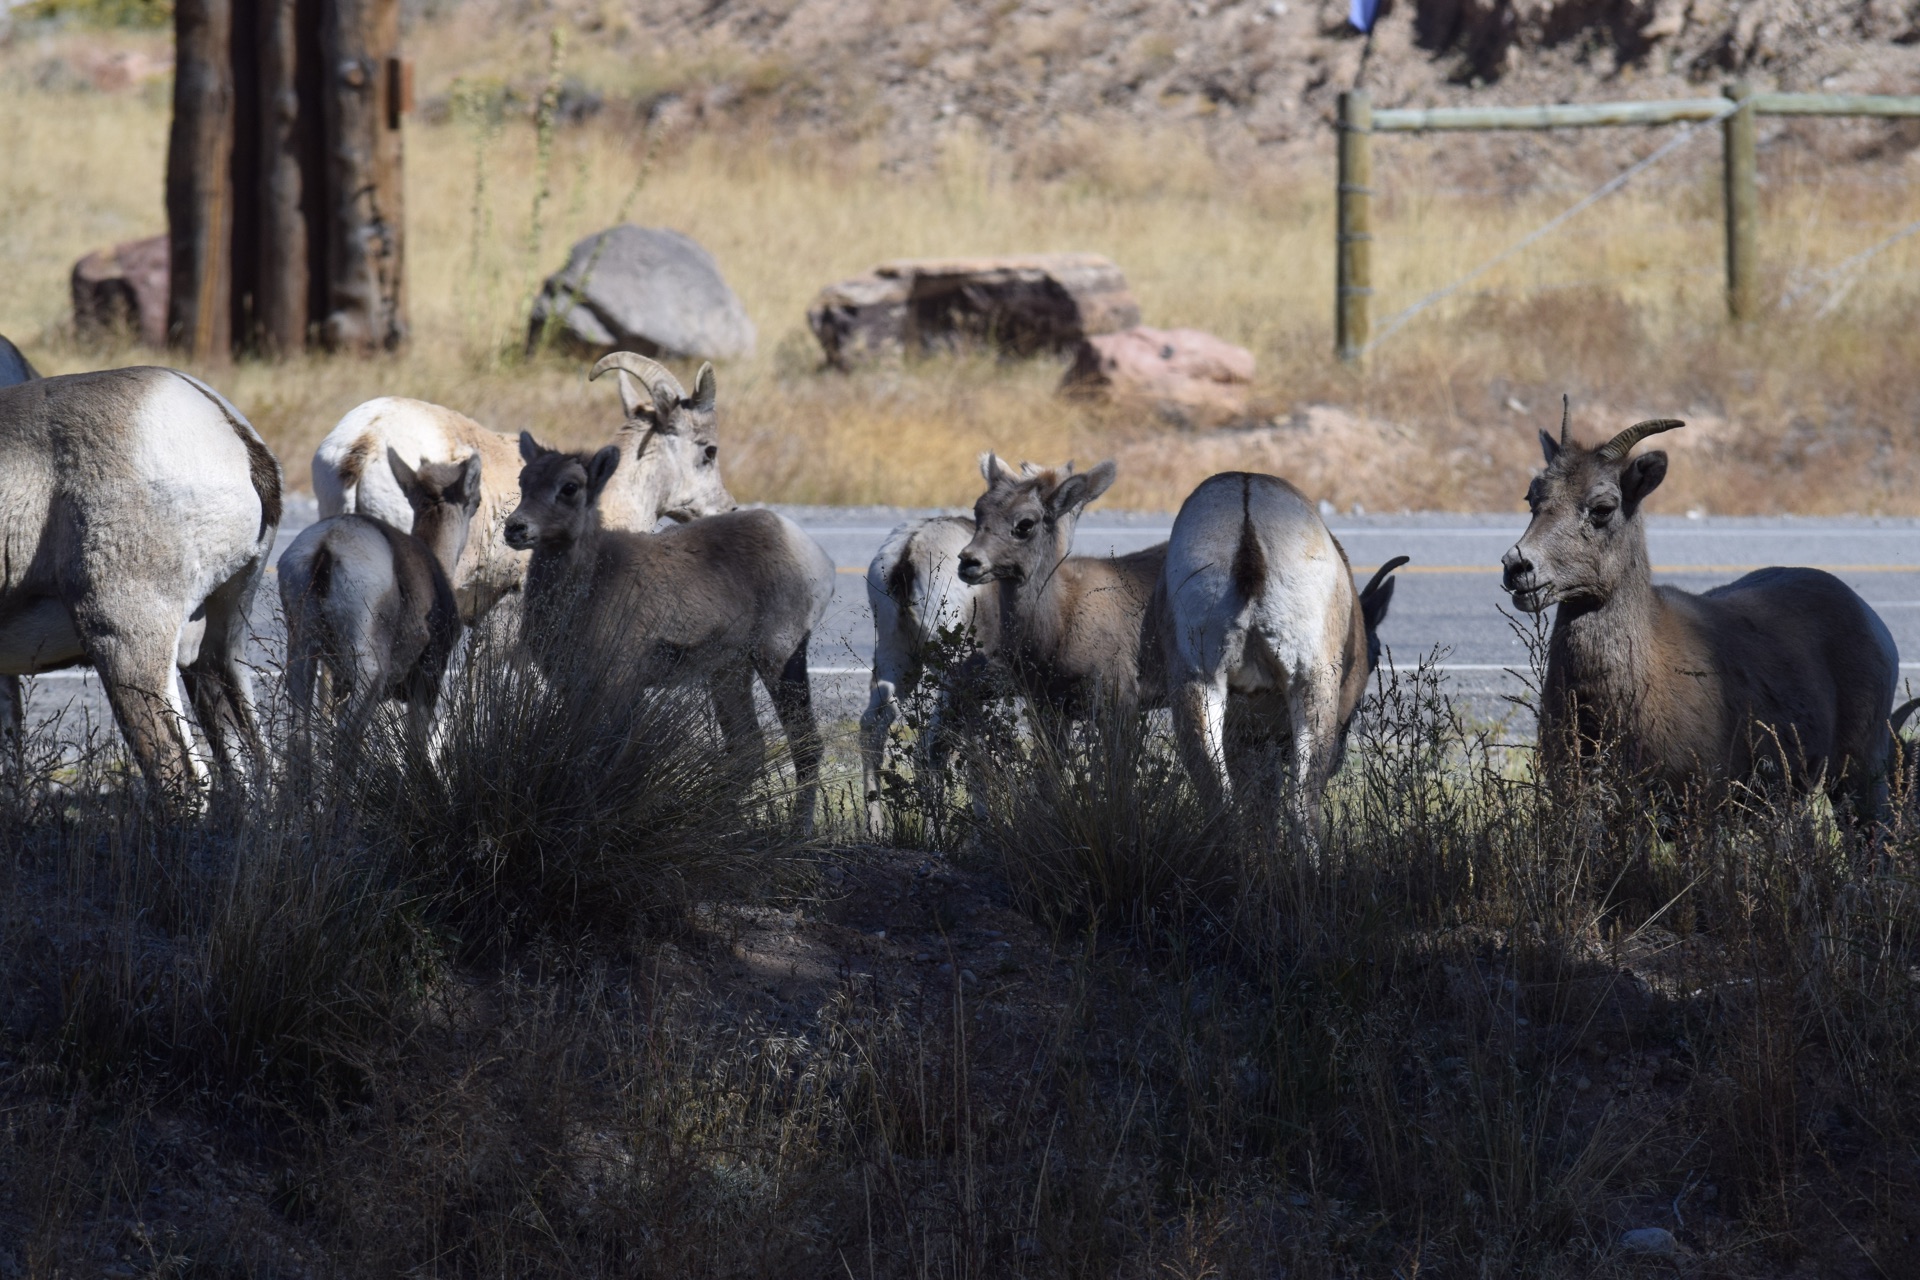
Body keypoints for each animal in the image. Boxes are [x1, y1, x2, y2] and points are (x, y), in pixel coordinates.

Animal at [278, 450, 483, 741]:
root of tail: (326, 549)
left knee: (299, 736)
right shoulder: (429, 674)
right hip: (369, 667)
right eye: (476, 501)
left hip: (301, 651)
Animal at [505, 433, 836, 828]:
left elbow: (600, 762)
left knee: (806, 744)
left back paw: (798, 831)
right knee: (747, 748)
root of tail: (812, 553)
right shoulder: (573, 686)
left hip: (779, 656)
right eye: (524, 481)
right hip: (729, 670)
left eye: (569, 487)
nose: (515, 528)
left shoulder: (618, 685)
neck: (587, 589)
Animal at [1161, 471, 1407, 837]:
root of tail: (1246, 514)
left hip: (1199, 684)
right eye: (1375, 657)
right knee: (1302, 806)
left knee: (1220, 799)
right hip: (1312, 687)